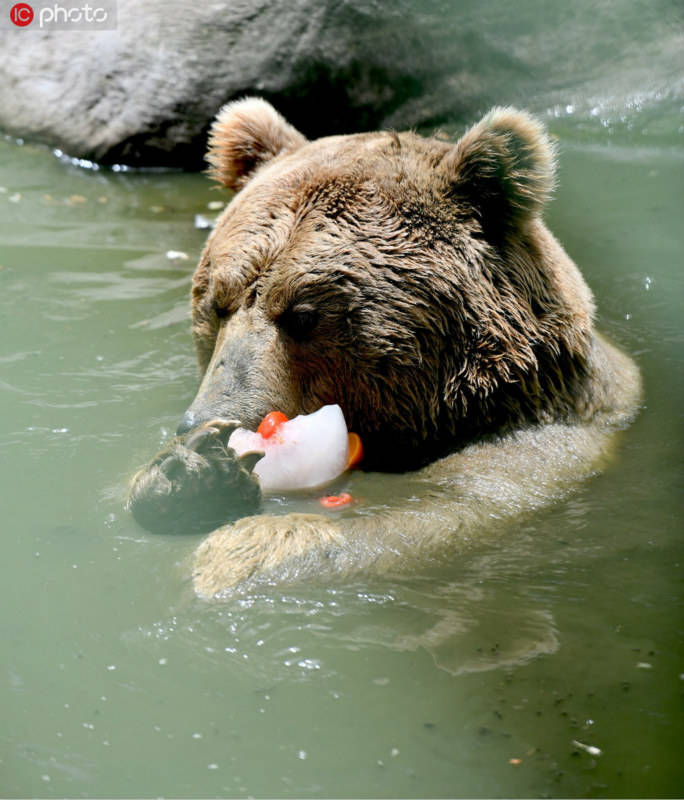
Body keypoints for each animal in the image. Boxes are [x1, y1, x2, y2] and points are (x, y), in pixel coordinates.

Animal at [128, 98, 640, 592]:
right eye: (218, 303)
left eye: (302, 314)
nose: (207, 418)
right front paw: (190, 470)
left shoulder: (536, 444)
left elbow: (443, 511)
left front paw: (251, 548)